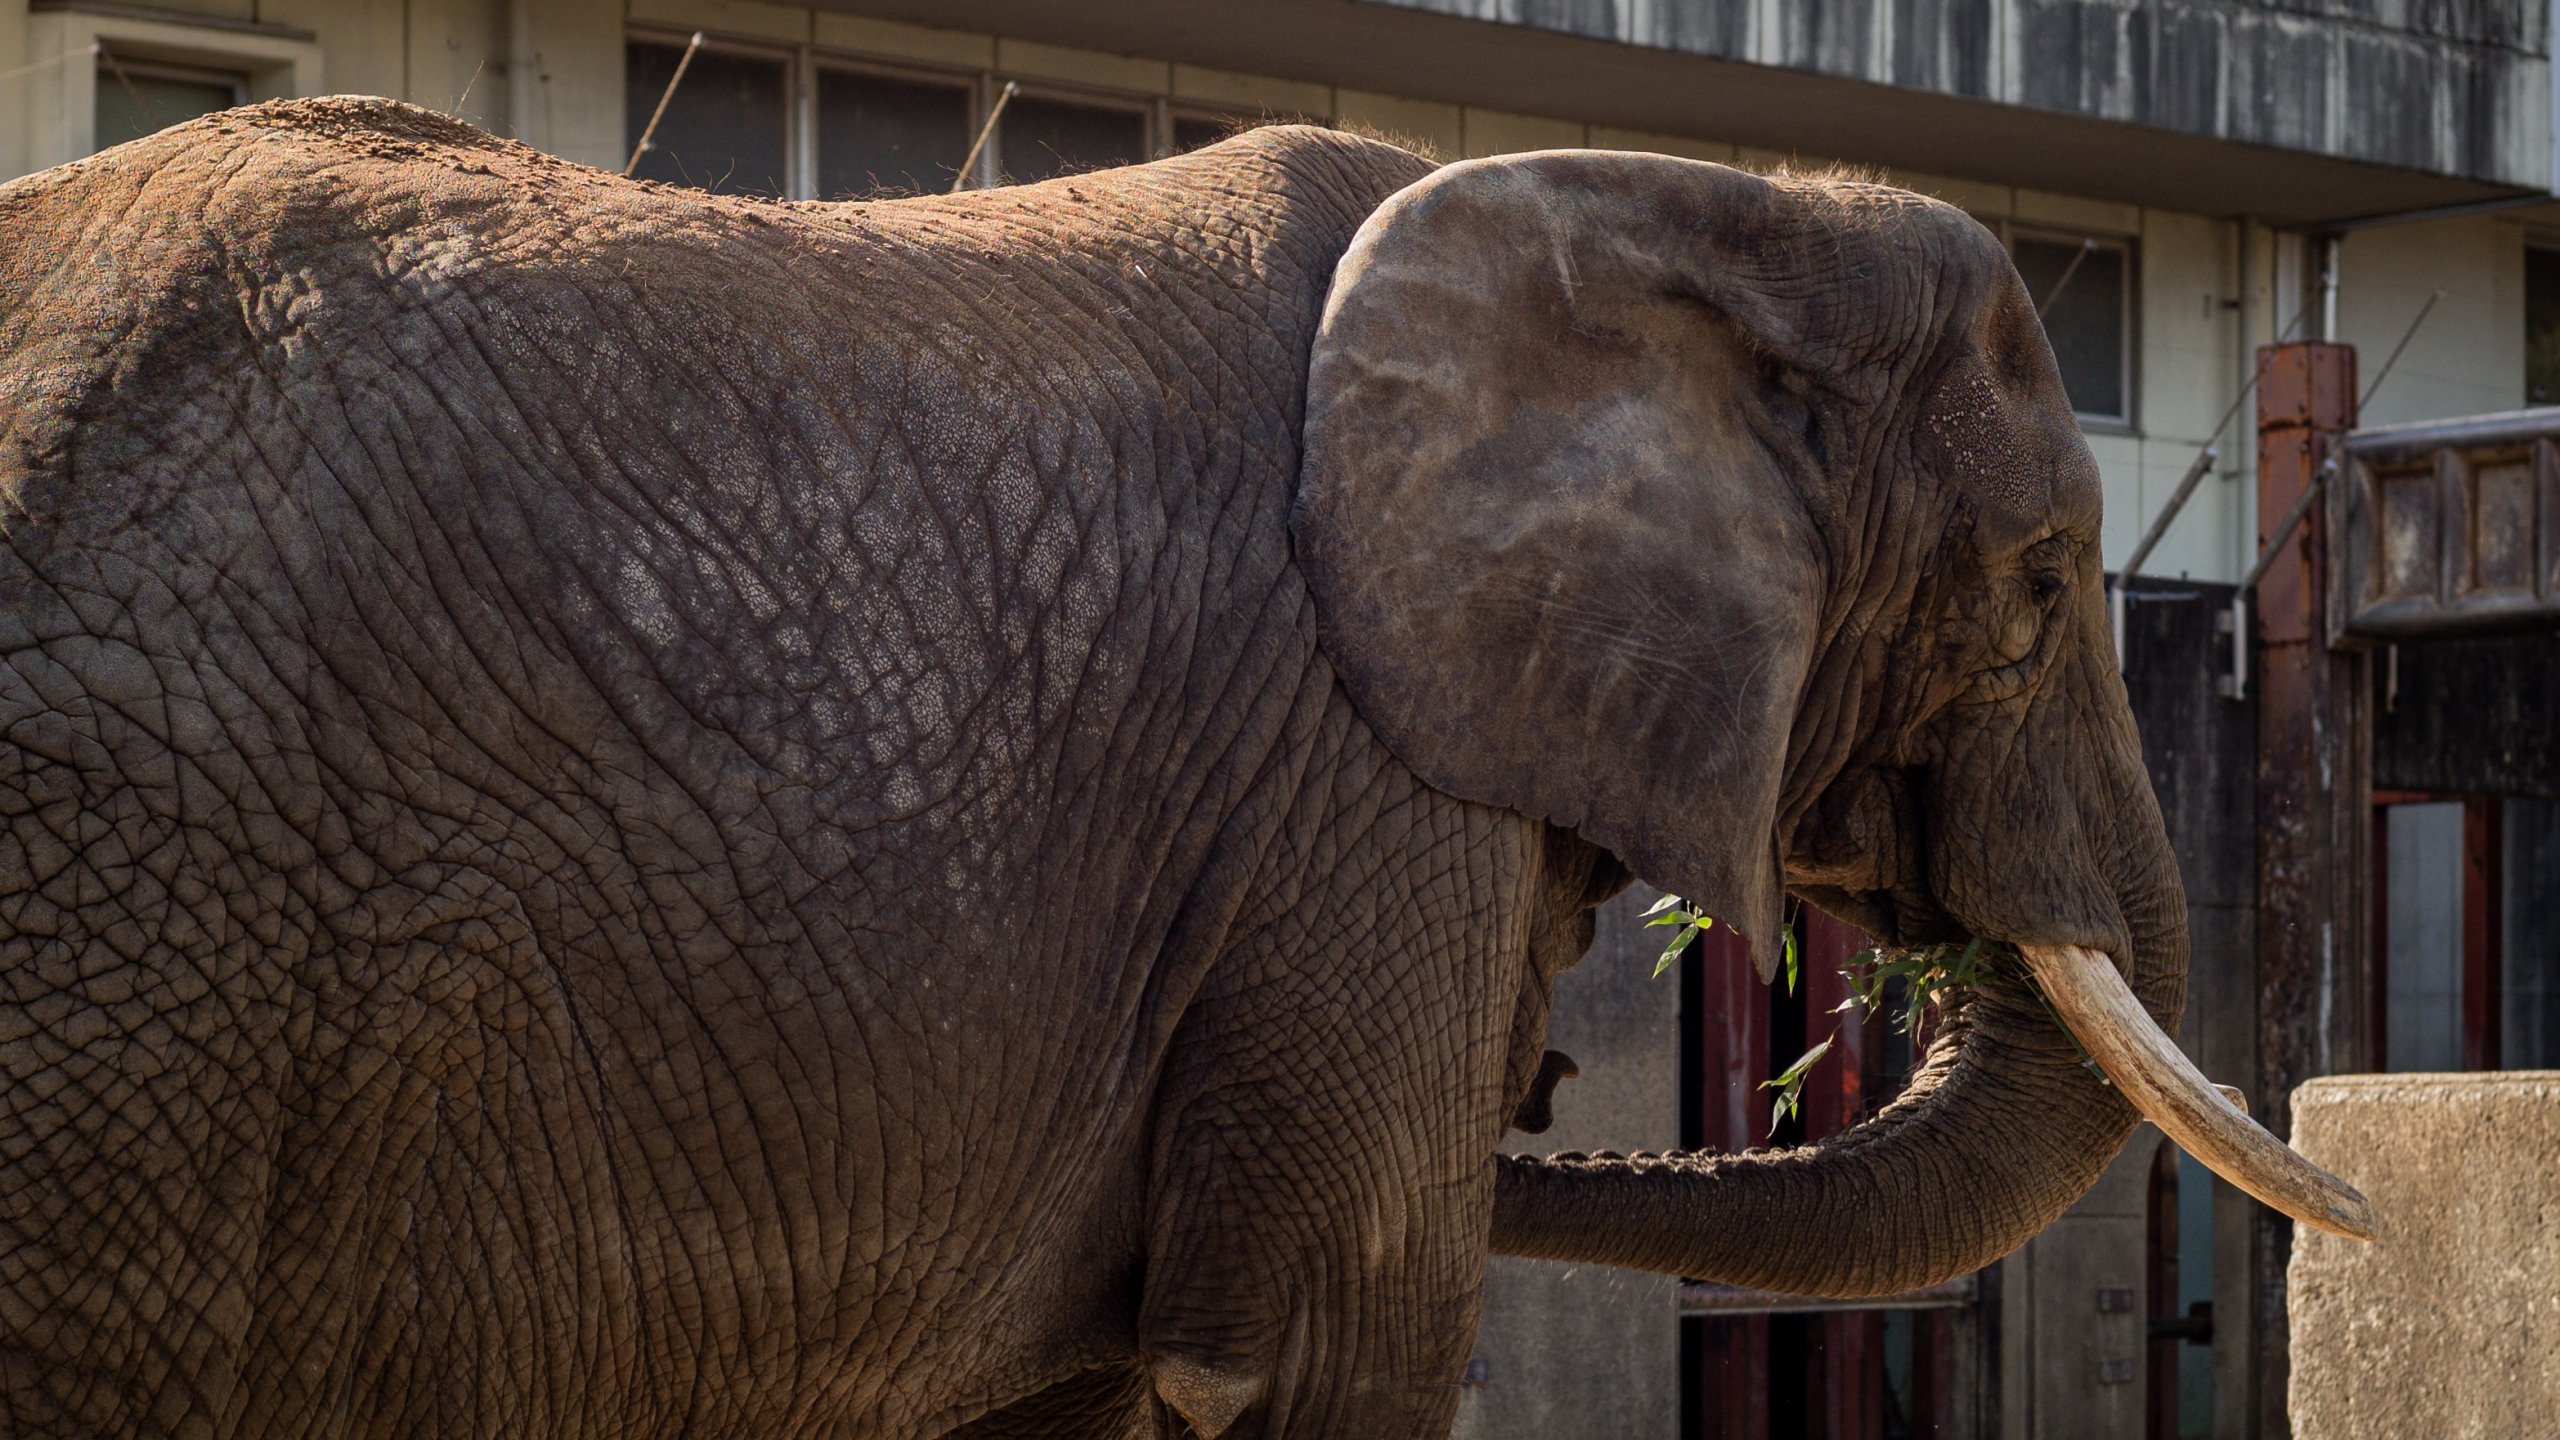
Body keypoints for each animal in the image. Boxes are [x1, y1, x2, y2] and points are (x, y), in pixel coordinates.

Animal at [0, 98, 2363, 1437]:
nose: (1540, 1112)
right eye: (2040, 590)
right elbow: (1320, 1362)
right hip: (149, 941)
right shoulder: (1352, 803)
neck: (1714, 211)